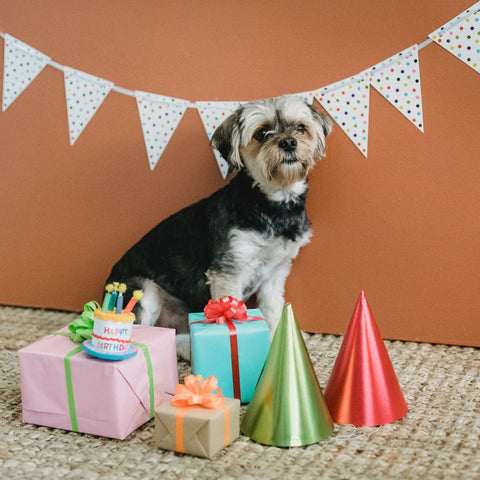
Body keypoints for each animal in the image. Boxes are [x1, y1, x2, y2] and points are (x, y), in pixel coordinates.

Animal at [107, 94, 332, 358]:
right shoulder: (228, 271)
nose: (288, 142)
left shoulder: (274, 273)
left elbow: (274, 312)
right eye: (262, 133)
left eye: (300, 128)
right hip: (143, 290)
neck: (272, 203)